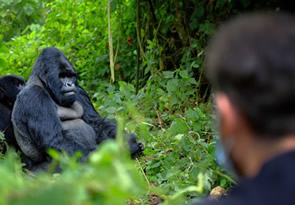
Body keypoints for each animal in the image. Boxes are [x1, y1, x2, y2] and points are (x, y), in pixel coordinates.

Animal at [12, 47, 144, 171]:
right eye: (62, 76)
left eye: (70, 76)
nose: (70, 84)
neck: (45, 85)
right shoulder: (34, 95)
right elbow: (54, 141)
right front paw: (123, 148)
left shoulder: (79, 90)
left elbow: (97, 123)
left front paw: (126, 141)